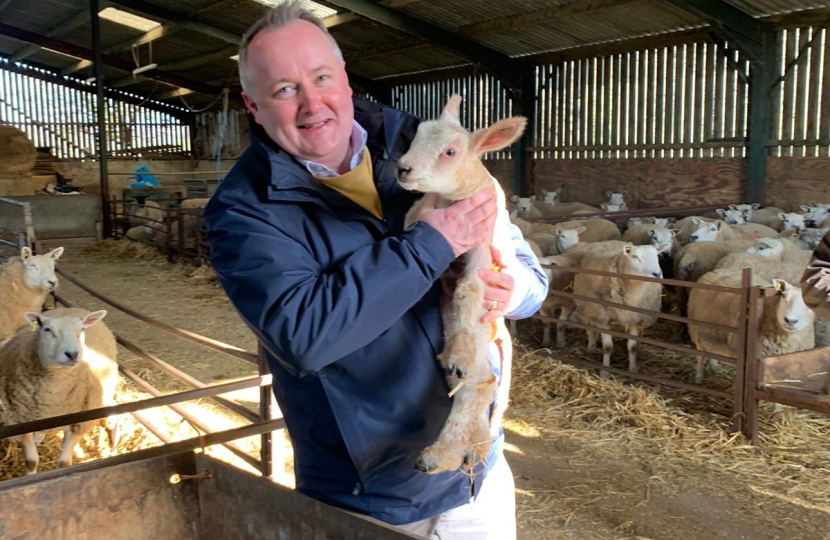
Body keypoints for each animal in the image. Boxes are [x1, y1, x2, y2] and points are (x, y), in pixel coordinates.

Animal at [0, 306, 118, 474]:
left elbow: (64, 463)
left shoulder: (78, 423)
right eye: (47, 329)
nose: (72, 354)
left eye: (82, 329)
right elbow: (31, 461)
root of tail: (72, 308)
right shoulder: (20, 421)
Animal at [398, 95, 528, 474]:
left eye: (450, 152)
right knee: (475, 384)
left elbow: (469, 290)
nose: (403, 169)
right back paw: (462, 449)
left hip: (483, 339)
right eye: (416, 136)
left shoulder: (484, 252)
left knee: (480, 385)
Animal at [576, 245, 668, 376]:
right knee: (590, 330)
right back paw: (591, 348)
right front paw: (605, 372)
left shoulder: (636, 319)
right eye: (634, 256)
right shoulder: (603, 318)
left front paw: (632, 370)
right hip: (587, 309)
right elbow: (607, 347)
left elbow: (633, 347)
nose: (657, 274)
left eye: (657, 255)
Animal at [688, 274, 820, 384]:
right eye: (784, 296)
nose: (790, 320)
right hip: (695, 331)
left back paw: (714, 367)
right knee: (700, 355)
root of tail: (712, 272)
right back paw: (698, 378)